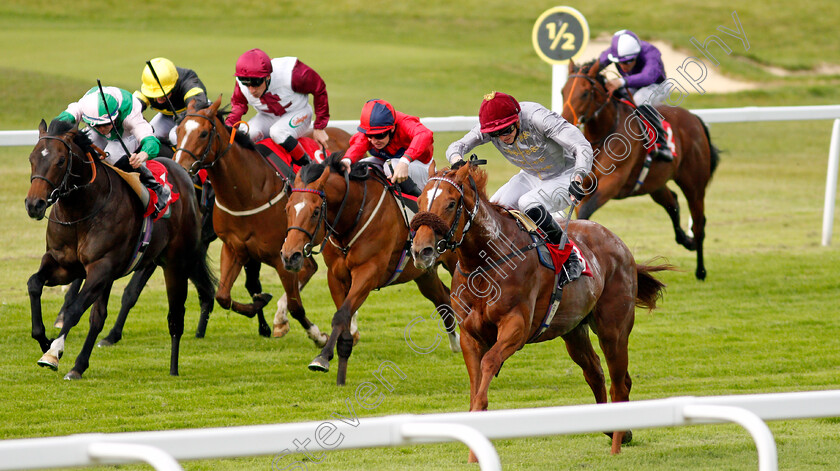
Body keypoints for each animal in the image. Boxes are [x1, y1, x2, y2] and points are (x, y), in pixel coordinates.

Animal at [25, 119, 217, 380]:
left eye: (61, 161)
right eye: (32, 158)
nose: (34, 204)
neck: (81, 211)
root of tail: (182, 173)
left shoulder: (101, 268)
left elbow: (75, 310)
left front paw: (53, 352)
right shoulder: (63, 264)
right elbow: (34, 284)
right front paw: (44, 340)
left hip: (175, 264)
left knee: (176, 315)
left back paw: (174, 368)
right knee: (99, 317)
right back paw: (79, 366)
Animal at [174, 97, 352, 342]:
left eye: (202, 133)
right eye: (178, 130)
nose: (179, 167)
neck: (248, 193)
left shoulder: (282, 256)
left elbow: (297, 307)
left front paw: (317, 335)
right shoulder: (234, 248)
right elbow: (223, 296)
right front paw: (261, 303)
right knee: (310, 267)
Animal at [282, 157, 460, 386]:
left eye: (315, 212)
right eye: (287, 208)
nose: (290, 255)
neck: (354, 216)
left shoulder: (368, 273)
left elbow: (341, 316)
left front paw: (322, 358)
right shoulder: (336, 276)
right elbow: (345, 323)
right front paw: (340, 378)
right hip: (424, 273)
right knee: (443, 298)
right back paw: (456, 343)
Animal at [410, 162, 672, 460]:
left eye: (451, 203)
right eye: (420, 200)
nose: (421, 250)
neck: (485, 263)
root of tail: (619, 243)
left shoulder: (516, 326)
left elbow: (490, 362)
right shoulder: (469, 334)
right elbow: (476, 379)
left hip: (613, 330)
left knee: (620, 383)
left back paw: (617, 442)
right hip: (573, 330)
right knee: (594, 371)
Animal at [560, 59, 720, 280]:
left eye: (584, 93)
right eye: (563, 91)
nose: (565, 120)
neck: (605, 134)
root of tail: (695, 118)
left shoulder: (612, 182)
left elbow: (585, 212)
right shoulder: (583, 185)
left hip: (694, 183)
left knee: (698, 223)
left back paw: (700, 269)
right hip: (655, 183)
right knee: (672, 202)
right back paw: (686, 240)